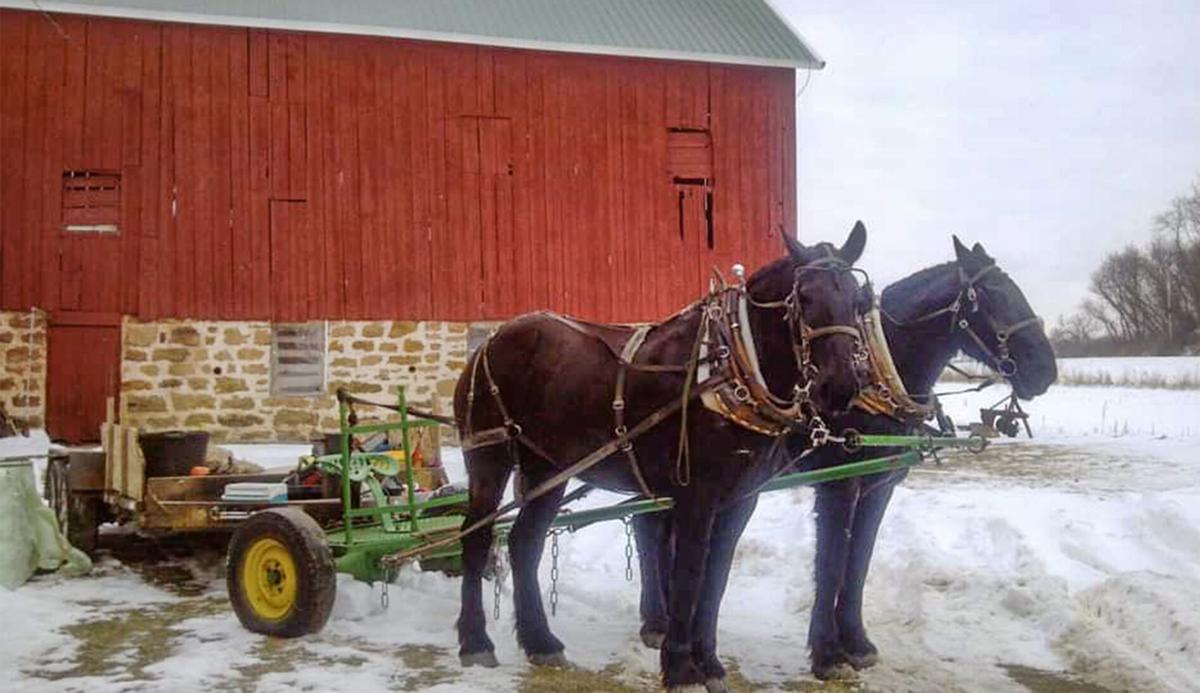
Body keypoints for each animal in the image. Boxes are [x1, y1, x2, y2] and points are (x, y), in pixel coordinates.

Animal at [453, 223, 872, 691]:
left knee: (525, 542)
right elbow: (689, 575)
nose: (841, 386)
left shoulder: (740, 500)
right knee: (476, 537)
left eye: (858, 301)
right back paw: (475, 641)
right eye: (805, 298)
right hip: (489, 456)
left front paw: (709, 664)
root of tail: (492, 340)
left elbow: (715, 579)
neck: (727, 368)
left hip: (549, 466)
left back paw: (541, 642)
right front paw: (681, 668)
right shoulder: (696, 495)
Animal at [633, 236, 1058, 682]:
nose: (1044, 370)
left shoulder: (878, 484)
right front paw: (827, 651)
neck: (877, 371)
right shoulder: (839, 481)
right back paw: (657, 621)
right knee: (649, 527)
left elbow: (859, 563)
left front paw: (856, 642)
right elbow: (833, 561)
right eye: (990, 294)